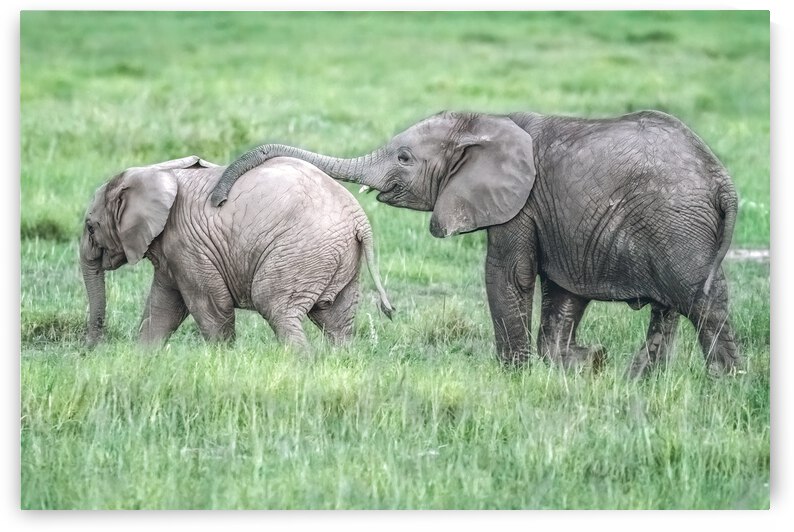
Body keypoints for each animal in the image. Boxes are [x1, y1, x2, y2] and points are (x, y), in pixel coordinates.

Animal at [80, 155, 394, 348]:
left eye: (90, 227)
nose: (92, 348)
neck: (155, 172)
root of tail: (359, 219)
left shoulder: (188, 245)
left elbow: (209, 308)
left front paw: (222, 360)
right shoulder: (173, 251)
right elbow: (162, 308)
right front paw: (143, 359)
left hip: (302, 252)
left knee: (277, 308)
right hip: (338, 258)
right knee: (337, 319)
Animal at [210, 110, 741, 376]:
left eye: (404, 158)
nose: (218, 197)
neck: (484, 120)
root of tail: (722, 179)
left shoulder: (520, 203)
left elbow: (509, 275)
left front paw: (517, 377)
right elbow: (563, 292)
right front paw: (570, 366)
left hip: (677, 225)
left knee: (702, 302)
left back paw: (724, 386)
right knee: (671, 309)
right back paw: (644, 382)